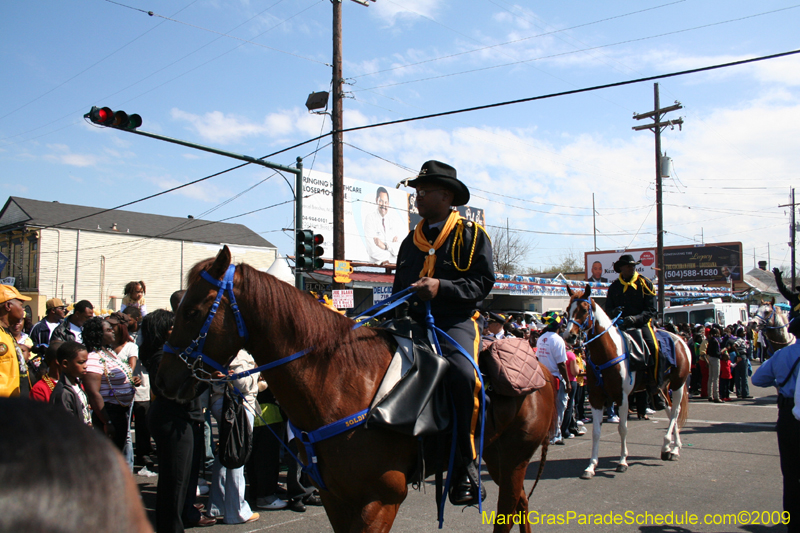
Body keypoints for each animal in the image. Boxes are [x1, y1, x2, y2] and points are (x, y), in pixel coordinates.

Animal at [156, 247, 556, 528]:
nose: (164, 380)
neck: (340, 383)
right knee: (519, 506)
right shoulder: (338, 499)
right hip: (498, 456)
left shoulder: (379, 502)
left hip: (513, 458)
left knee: (510, 511)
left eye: (193, 310)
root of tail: (543, 369)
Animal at [564, 284, 688, 480]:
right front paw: (591, 466)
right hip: (660, 387)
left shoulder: (622, 397)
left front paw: (622, 462)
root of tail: (680, 340)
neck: (607, 352)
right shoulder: (596, 398)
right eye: (568, 309)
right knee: (669, 411)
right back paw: (670, 448)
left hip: (678, 385)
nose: (569, 336)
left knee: (675, 412)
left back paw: (671, 447)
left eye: (583, 310)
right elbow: (596, 432)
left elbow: (622, 428)